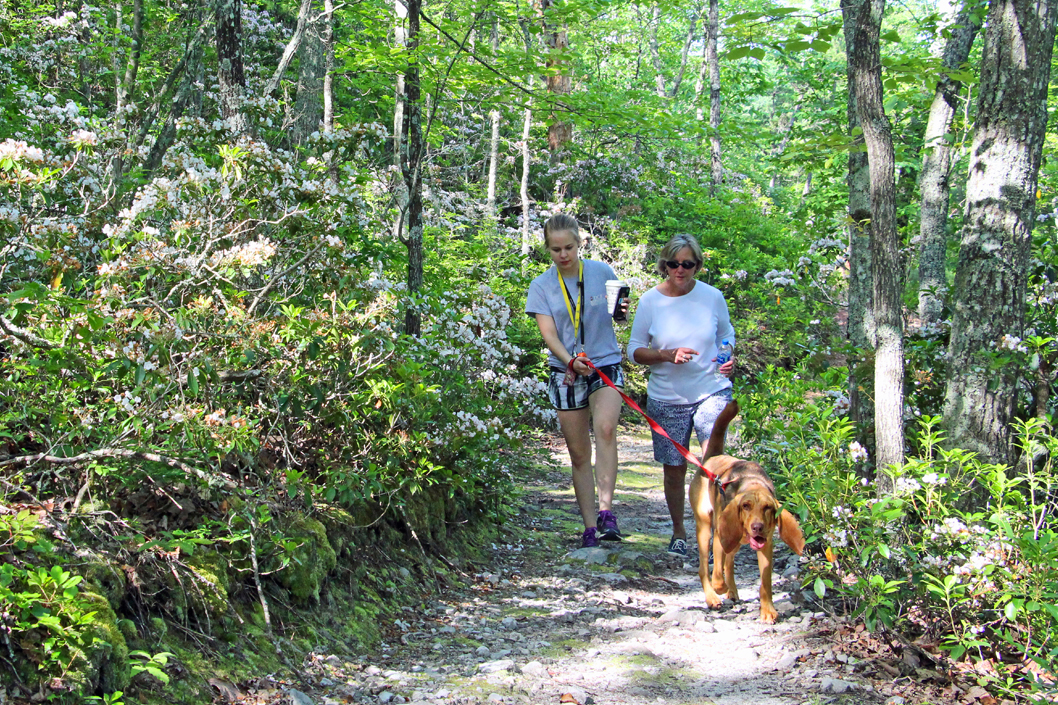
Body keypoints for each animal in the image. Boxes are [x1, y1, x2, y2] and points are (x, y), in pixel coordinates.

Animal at [689, 400, 804, 622]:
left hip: (734, 541)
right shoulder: (721, 537)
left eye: (768, 508)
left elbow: (765, 583)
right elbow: (717, 574)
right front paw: (720, 587)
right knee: (704, 569)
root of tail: (712, 457)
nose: (757, 527)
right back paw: (712, 597)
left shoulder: (765, 547)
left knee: (729, 563)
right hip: (705, 529)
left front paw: (768, 610)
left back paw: (732, 591)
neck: (753, 483)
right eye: (746, 506)